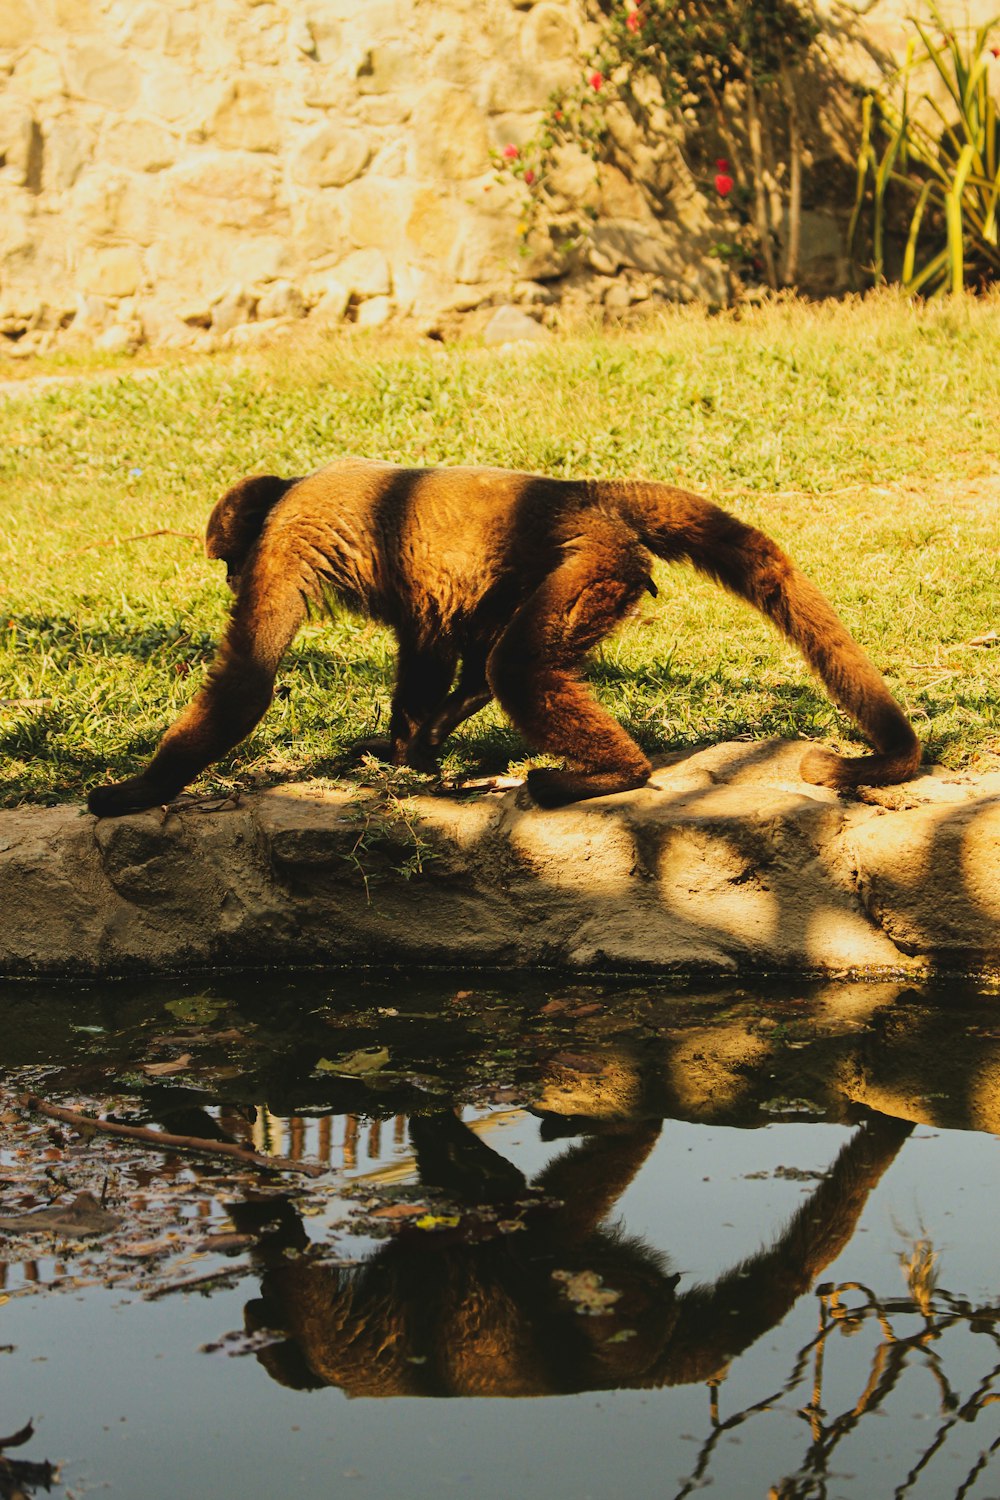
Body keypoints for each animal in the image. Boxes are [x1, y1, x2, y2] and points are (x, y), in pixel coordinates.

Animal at [86, 459, 923, 822]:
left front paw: (137, 790)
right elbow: (424, 639)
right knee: (492, 650)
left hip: (595, 562)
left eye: (229, 559)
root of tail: (582, 492)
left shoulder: (282, 546)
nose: (229, 580)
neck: (287, 490)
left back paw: (614, 773)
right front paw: (412, 751)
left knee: (516, 664)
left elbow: (248, 681)